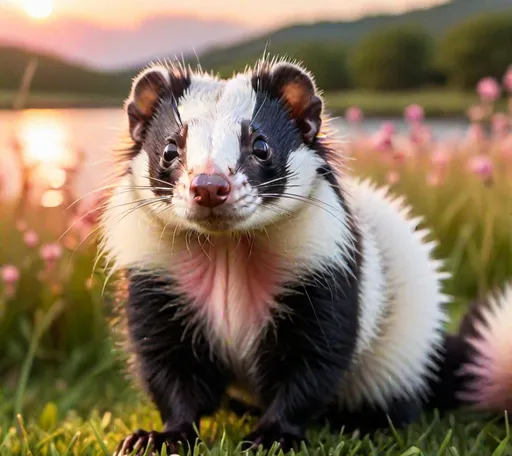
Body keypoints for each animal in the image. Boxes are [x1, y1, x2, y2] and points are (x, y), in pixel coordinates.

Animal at [99, 58, 512, 456]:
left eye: (261, 145)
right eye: (170, 149)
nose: (210, 186)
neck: (226, 251)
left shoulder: (322, 269)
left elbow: (312, 362)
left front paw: (273, 437)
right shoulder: (157, 278)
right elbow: (169, 366)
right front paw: (161, 437)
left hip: (401, 348)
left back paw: (365, 424)